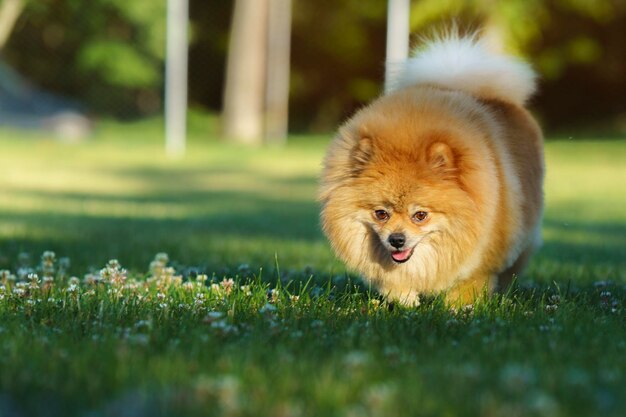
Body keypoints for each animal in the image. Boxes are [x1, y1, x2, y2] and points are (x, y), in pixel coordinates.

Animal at [316, 32, 540, 304]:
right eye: (381, 213)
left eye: (420, 215)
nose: (396, 239)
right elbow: (395, 281)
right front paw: (406, 301)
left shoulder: (483, 258)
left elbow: (468, 284)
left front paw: (459, 307)